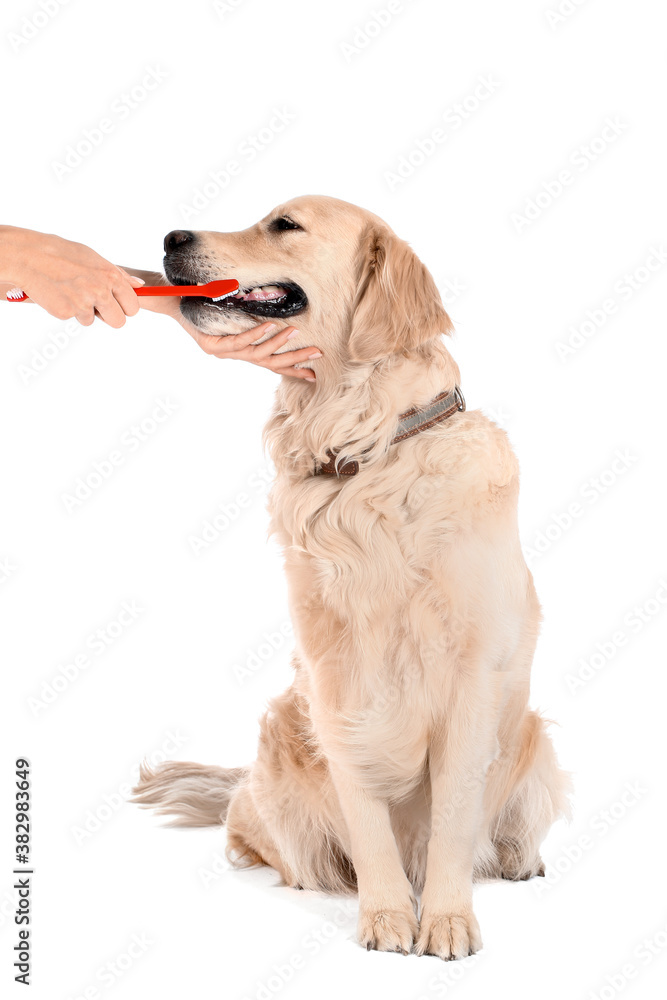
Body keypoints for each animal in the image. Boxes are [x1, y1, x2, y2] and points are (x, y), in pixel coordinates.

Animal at [133, 197, 572, 960]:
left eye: (284, 225)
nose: (170, 236)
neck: (368, 454)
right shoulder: (335, 679)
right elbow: (364, 812)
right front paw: (388, 914)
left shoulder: (470, 676)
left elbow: (456, 812)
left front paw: (446, 919)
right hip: (279, 749)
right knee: (252, 830)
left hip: (534, 738)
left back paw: (521, 858)